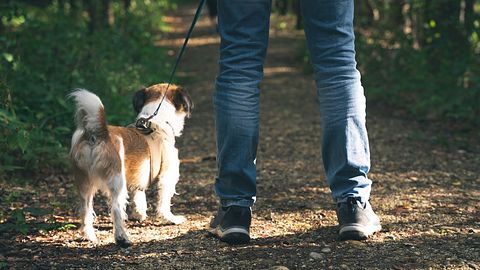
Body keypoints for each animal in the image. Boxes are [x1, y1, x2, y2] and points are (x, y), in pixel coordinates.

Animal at [68, 84, 192, 247]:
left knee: (85, 209)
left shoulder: (138, 176)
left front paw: (139, 214)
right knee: (116, 209)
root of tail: (98, 134)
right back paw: (122, 238)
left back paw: (89, 236)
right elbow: (164, 201)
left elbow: (139, 196)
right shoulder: (167, 177)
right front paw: (170, 218)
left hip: (85, 183)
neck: (157, 123)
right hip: (117, 183)